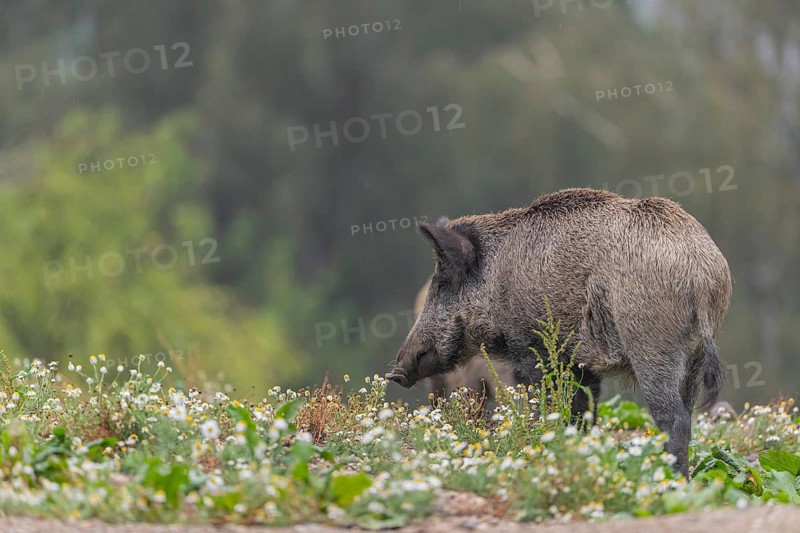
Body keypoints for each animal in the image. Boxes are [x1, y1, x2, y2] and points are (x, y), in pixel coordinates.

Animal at [386, 188, 732, 477]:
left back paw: (673, 481)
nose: (396, 373)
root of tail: (703, 274)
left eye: (443, 284)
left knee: (673, 417)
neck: (498, 278)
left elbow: (549, 408)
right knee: (688, 412)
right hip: (693, 355)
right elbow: (582, 414)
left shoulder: (532, 350)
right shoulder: (582, 365)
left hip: (652, 344)